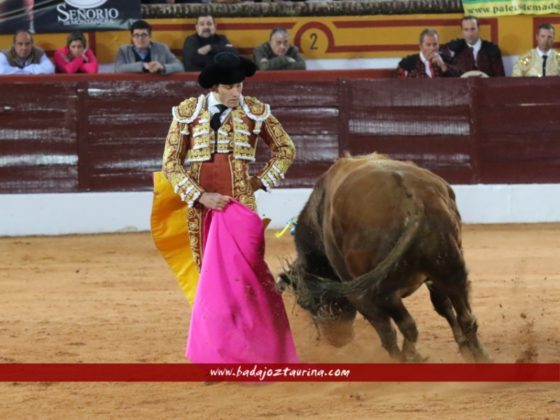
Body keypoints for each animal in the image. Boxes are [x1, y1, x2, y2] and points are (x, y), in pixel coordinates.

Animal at [280, 153, 490, 362]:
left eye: (306, 303)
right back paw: (480, 356)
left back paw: (409, 356)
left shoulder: (357, 294)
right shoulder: (433, 277)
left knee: (404, 326)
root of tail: (414, 199)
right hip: (450, 268)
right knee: (465, 317)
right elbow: (443, 306)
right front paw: (464, 348)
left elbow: (386, 330)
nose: (337, 340)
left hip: (381, 292)